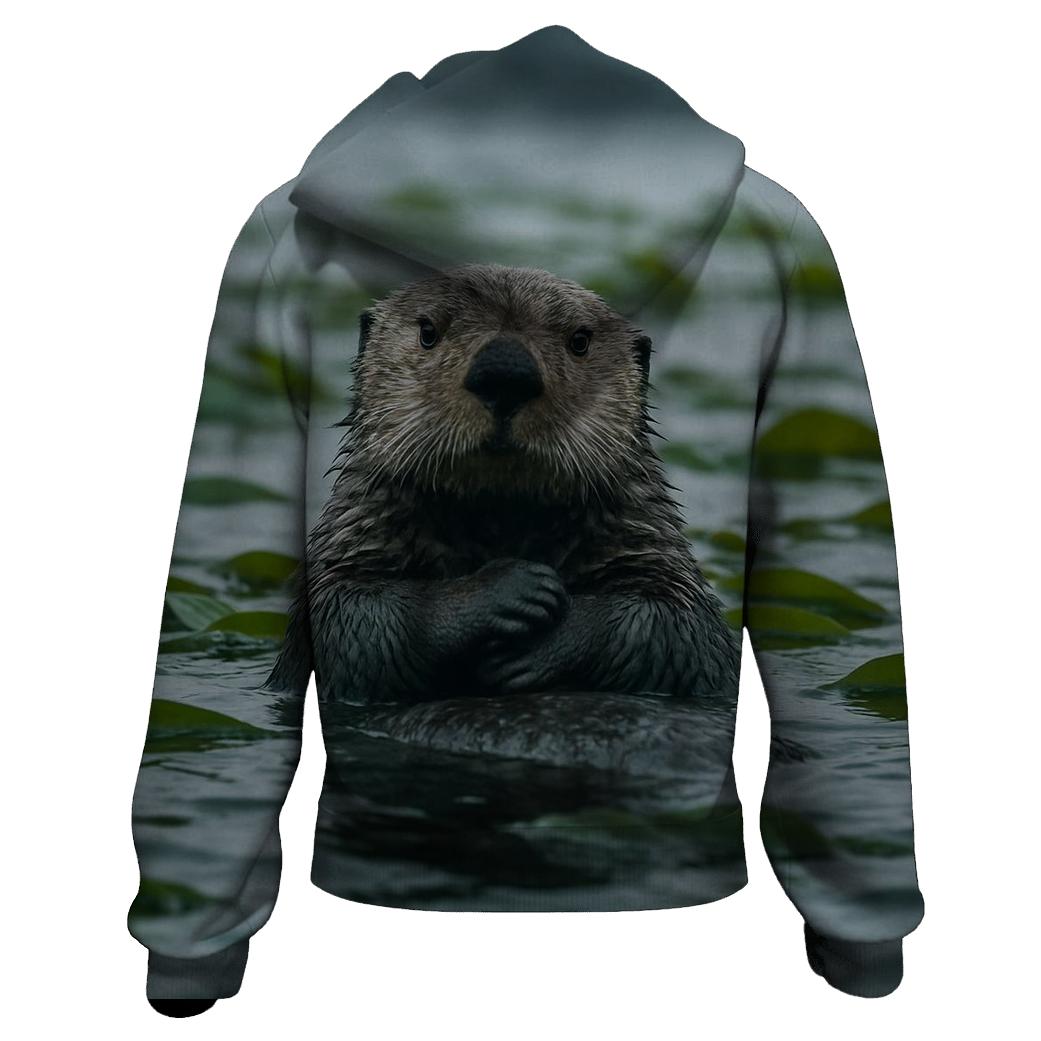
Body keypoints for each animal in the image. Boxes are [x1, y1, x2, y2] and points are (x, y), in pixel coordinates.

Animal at [267, 264, 738, 704]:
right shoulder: (357, 542)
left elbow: (675, 628)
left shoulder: (647, 546)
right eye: (428, 332)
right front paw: (509, 588)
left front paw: (545, 640)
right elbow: (352, 620)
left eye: (580, 341)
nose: (506, 370)